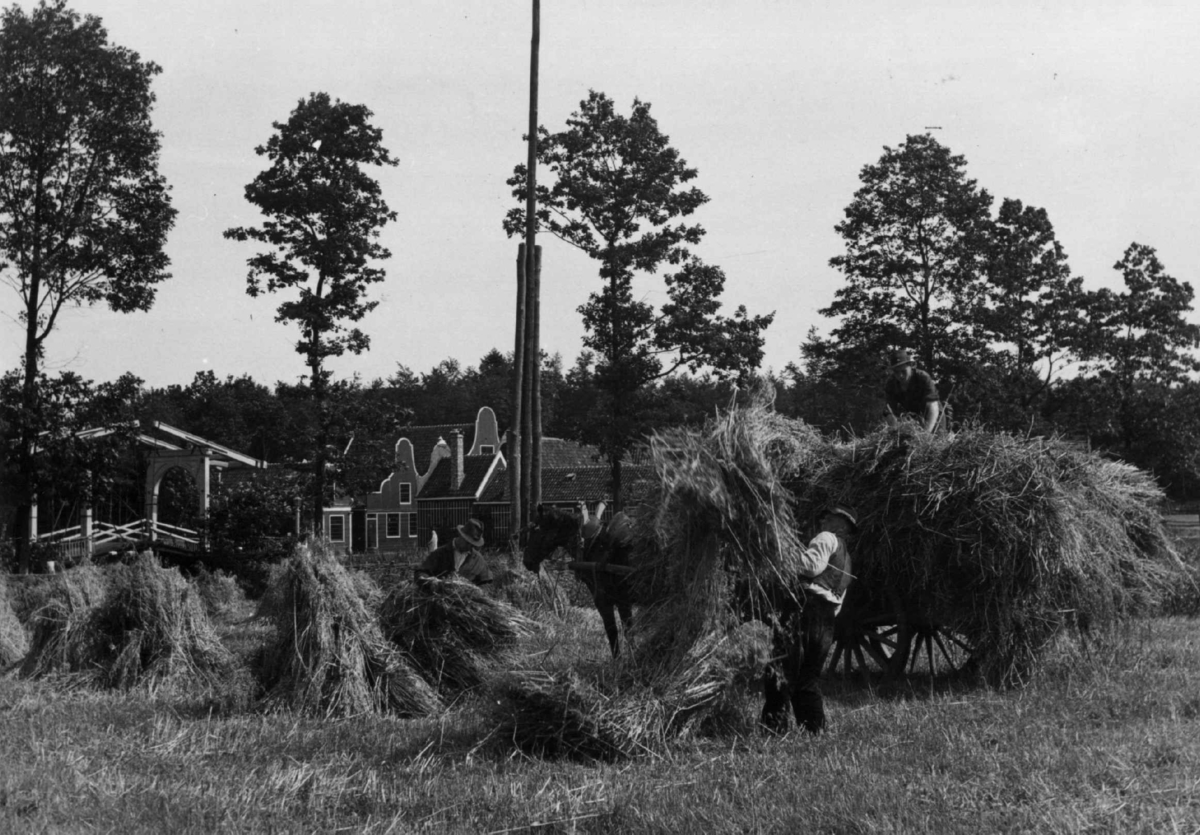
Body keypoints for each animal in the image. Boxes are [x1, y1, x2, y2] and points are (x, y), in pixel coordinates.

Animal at [523, 501, 643, 657]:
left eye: (536, 530)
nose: (526, 561)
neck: (592, 544)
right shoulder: (623, 601)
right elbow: (629, 633)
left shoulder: (603, 601)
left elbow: (613, 634)